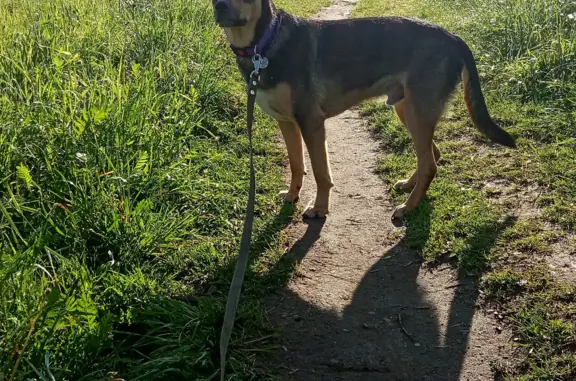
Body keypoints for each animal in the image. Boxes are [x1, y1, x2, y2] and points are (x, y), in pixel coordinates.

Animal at [209, 0, 516, 220]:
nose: (220, 5)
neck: (264, 44)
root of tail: (453, 37)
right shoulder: (286, 122)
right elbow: (297, 165)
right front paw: (292, 196)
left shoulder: (311, 122)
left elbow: (321, 173)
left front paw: (319, 209)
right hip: (408, 110)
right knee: (432, 155)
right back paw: (410, 187)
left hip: (417, 112)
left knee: (429, 163)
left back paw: (408, 207)